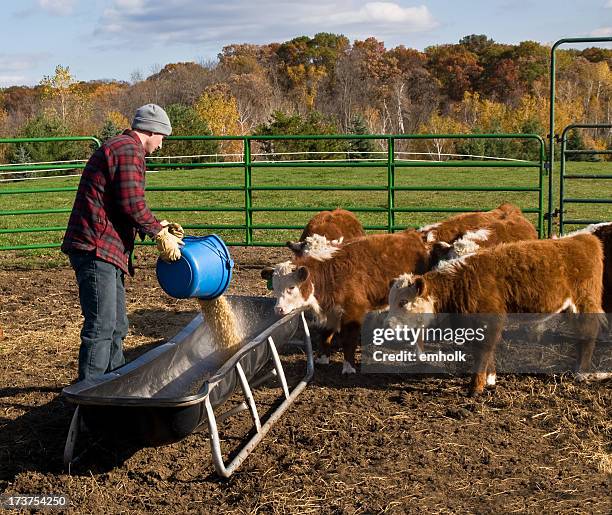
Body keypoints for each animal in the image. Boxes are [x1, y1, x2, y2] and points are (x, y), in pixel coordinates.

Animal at [260, 234, 428, 374]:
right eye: (275, 288)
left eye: (291, 287)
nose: (279, 309)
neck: (331, 274)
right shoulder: (329, 311)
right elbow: (325, 334)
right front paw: (323, 358)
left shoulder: (353, 312)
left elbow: (348, 340)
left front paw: (348, 367)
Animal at [384, 236, 604, 398]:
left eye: (403, 302)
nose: (388, 326)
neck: (461, 282)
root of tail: (581, 238)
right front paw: (490, 379)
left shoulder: (489, 321)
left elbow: (483, 351)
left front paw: (475, 387)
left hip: (584, 305)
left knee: (589, 334)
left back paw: (581, 372)